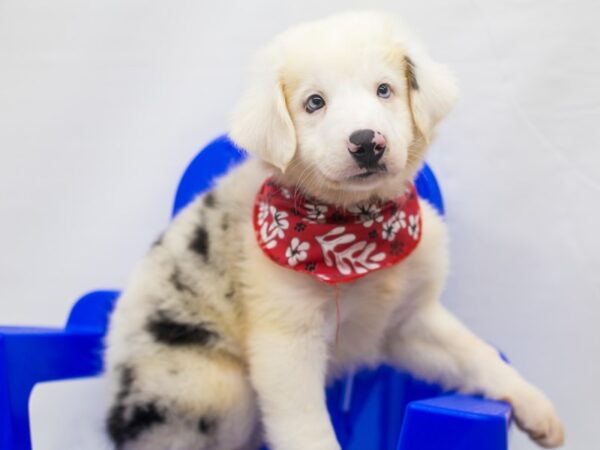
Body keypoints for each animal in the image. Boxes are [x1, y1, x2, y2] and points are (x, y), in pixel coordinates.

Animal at [105, 10, 564, 450]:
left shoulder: (409, 322)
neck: (359, 226)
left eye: (384, 90)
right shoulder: (286, 339)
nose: (367, 143)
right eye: (314, 102)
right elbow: (307, 428)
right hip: (209, 385)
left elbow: (476, 353)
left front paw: (536, 408)